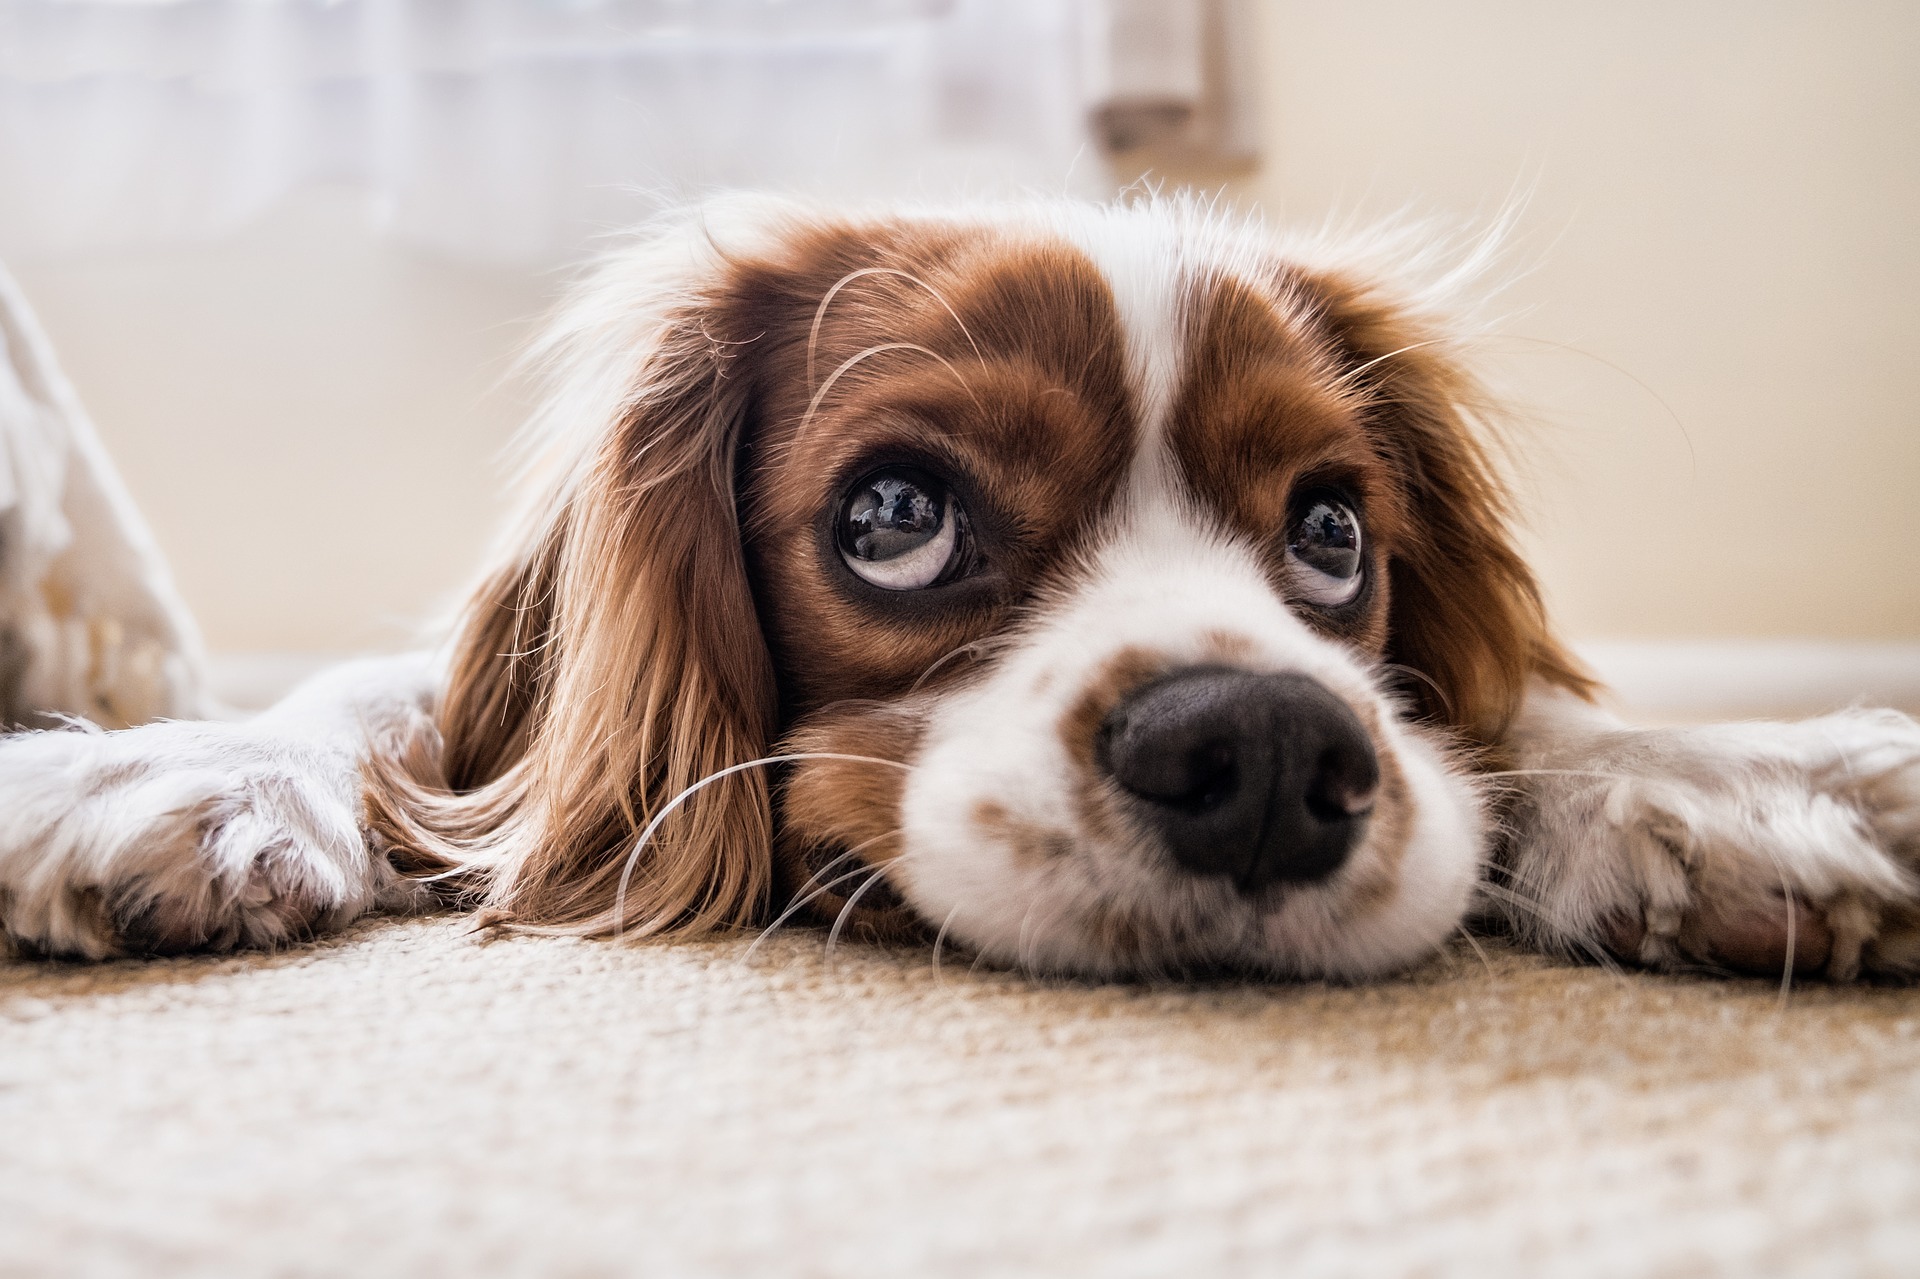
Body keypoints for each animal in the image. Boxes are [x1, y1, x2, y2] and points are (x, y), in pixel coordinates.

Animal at [3, 193, 1920, 975]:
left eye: (1332, 532)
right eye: (897, 514)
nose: (1266, 752)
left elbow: (1517, 720)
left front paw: (1735, 777)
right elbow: (386, 704)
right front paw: (170, 767)